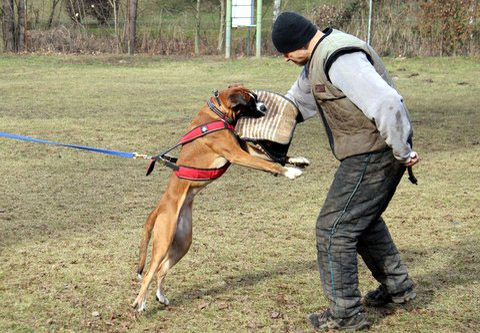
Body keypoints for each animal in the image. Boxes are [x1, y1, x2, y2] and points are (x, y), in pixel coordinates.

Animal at [132, 85, 308, 312]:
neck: (216, 113)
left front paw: (297, 160)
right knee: (149, 272)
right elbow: (269, 163)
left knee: (161, 270)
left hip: (182, 242)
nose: (265, 107)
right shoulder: (237, 154)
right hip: (163, 241)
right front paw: (290, 172)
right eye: (250, 101)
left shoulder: (245, 149)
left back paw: (160, 297)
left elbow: (270, 155)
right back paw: (140, 303)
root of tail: (161, 206)